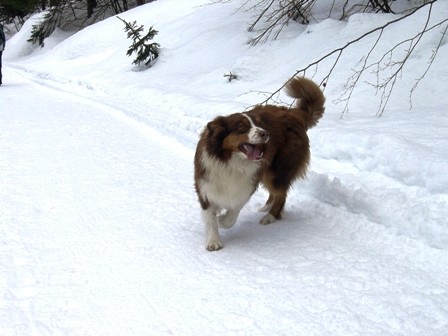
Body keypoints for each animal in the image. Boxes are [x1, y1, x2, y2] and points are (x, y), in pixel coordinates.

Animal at [194, 76, 324, 249]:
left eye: (258, 125)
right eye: (242, 127)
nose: (265, 133)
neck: (231, 161)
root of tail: (295, 114)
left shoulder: (244, 187)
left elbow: (231, 217)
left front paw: (221, 220)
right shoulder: (205, 187)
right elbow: (209, 217)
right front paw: (213, 241)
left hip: (278, 169)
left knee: (281, 193)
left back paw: (270, 216)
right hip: (268, 170)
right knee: (275, 192)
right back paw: (266, 207)